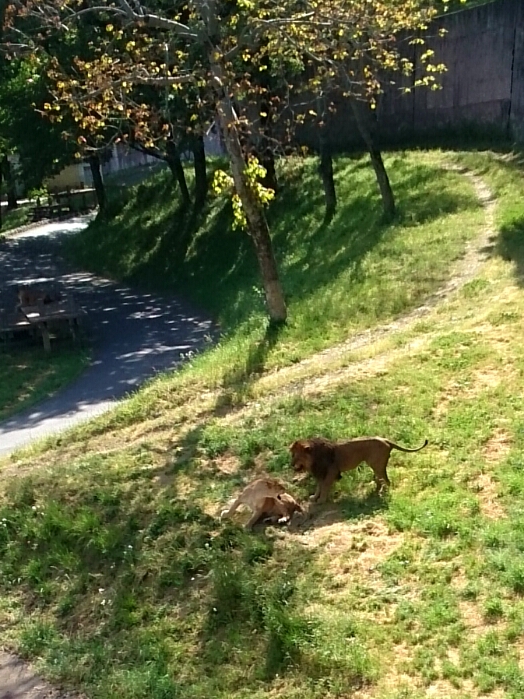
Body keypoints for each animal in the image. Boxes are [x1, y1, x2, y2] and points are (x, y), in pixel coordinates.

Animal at [288, 438, 428, 504]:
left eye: (297, 456)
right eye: (292, 455)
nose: (291, 464)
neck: (313, 458)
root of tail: (385, 439)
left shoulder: (331, 471)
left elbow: (325, 487)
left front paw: (321, 500)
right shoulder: (320, 473)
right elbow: (319, 486)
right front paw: (314, 497)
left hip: (376, 464)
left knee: (386, 481)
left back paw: (383, 493)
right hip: (375, 465)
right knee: (380, 479)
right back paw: (376, 491)